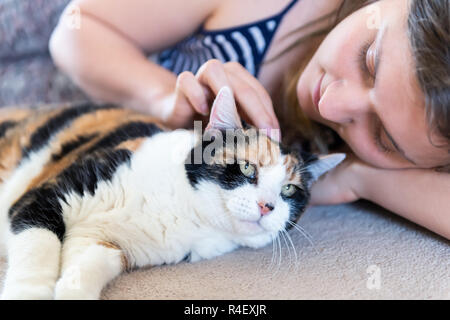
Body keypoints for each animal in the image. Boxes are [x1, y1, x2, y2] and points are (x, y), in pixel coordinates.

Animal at [0, 86, 344, 298]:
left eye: (289, 189)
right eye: (247, 168)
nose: (267, 206)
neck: (185, 210)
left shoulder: (101, 243)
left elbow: (87, 267)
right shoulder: (47, 195)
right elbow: (38, 250)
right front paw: (29, 293)